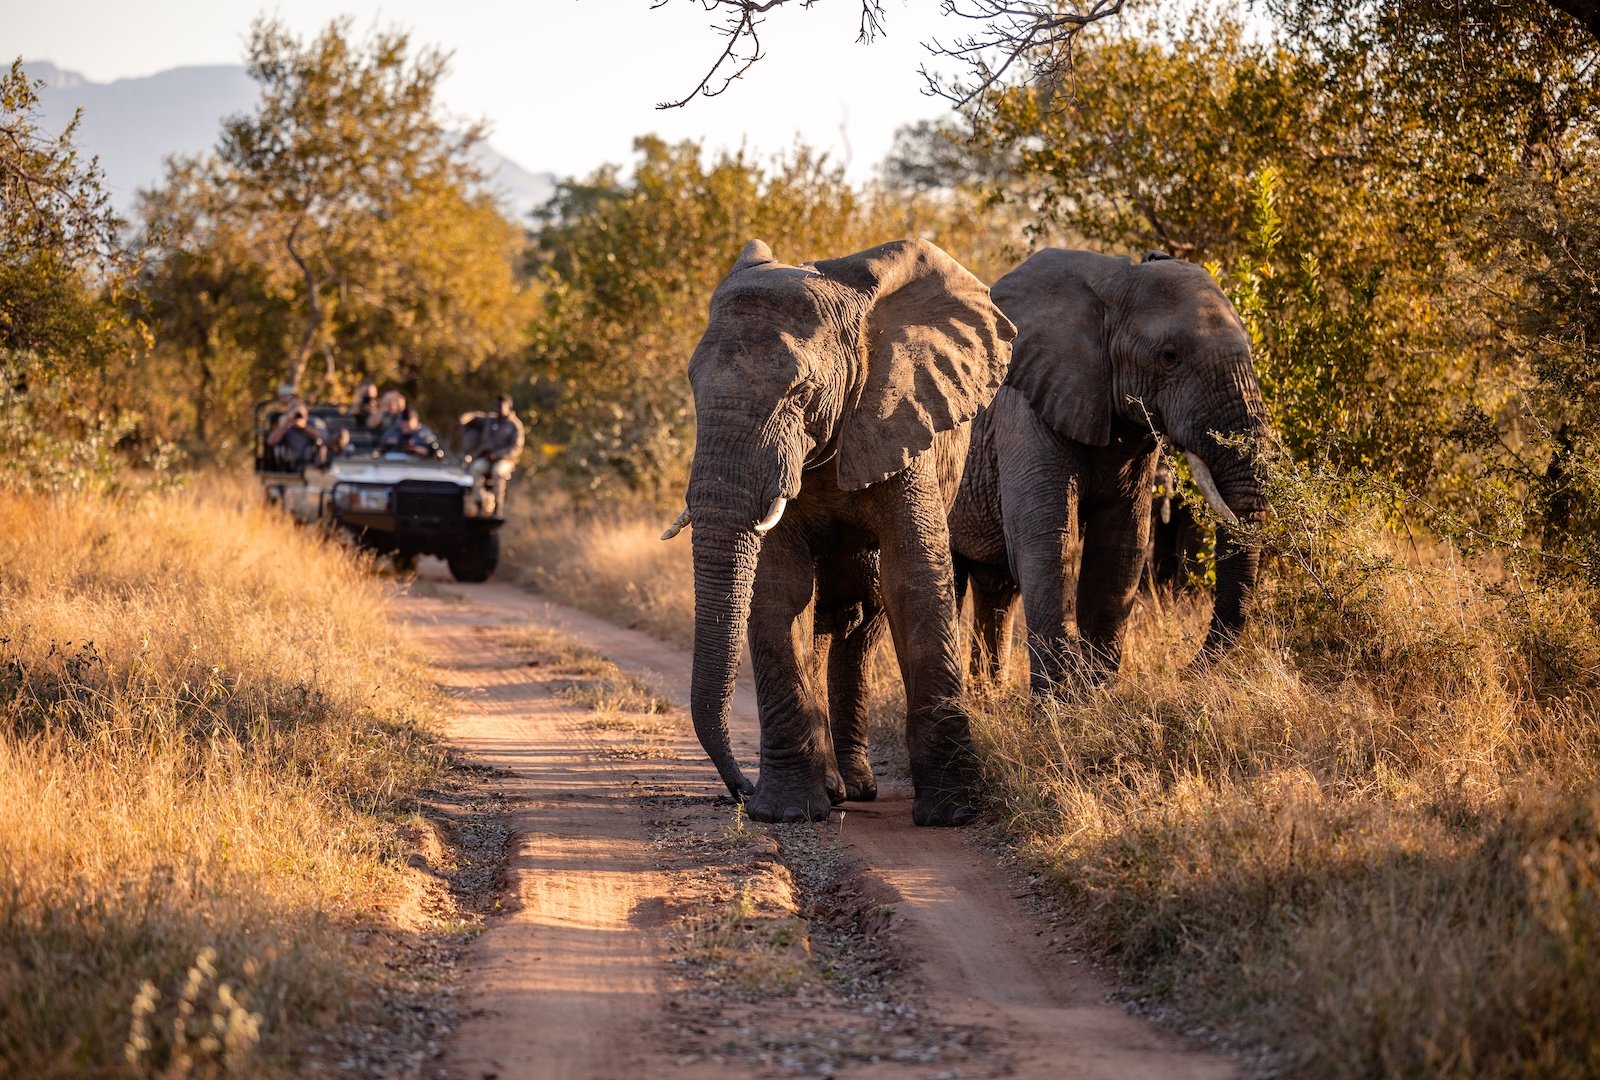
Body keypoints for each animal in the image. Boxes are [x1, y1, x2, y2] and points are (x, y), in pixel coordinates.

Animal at [664, 237, 1015, 825]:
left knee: (863, 620)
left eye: (802, 391)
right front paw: (787, 813)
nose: (741, 790)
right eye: (691, 384)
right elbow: (779, 588)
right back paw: (834, 790)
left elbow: (914, 580)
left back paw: (859, 788)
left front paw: (954, 813)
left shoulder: (901, 419)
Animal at [949, 248, 1269, 692]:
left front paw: (1096, 695)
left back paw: (988, 698)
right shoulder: (1024, 411)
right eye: (1169, 356)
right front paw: (1061, 704)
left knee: (997, 590)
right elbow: (1049, 540)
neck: (1112, 286)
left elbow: (1120, 544)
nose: (1181, 672)